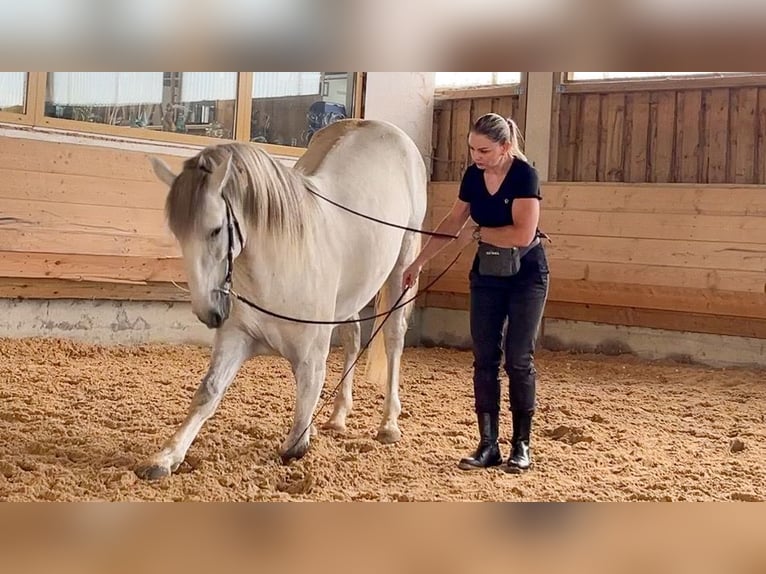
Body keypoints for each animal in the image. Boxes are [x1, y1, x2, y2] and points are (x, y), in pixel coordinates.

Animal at [136, 118, 428, 482]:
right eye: (178, 233)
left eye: (216, 230)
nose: (209, 311)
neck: (279, 264)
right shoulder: (236, 338)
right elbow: (208, 393)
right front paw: (166, 457)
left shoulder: (310, 354)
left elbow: (295, 441)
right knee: (352, 340)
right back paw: (338, 417)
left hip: (403, 265)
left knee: (392, 340)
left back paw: (388, 424)